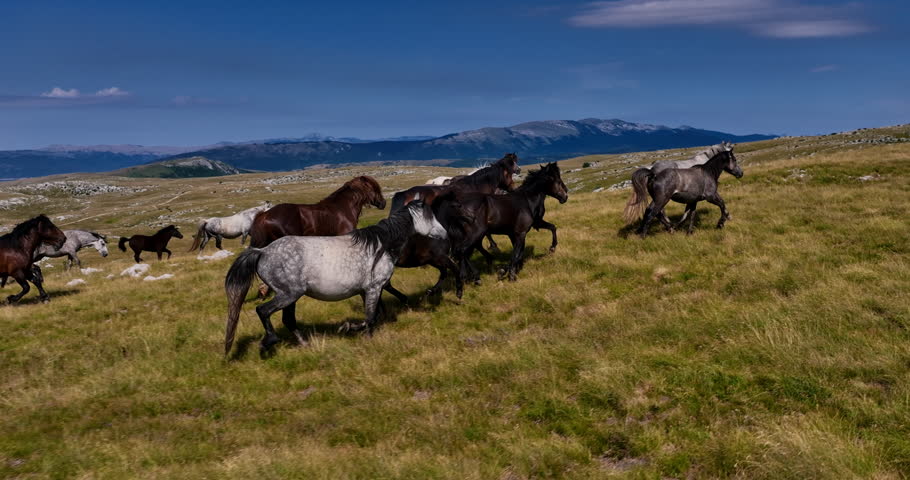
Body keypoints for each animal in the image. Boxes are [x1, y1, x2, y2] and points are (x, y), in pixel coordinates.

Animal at [224, 201, 449, 355]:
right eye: (430, 216)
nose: (445, 234)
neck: (380, 245)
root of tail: (262, 252)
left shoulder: (366, 290)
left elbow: (375, 315)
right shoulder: (374, 288)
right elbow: (370, 317)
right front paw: (352, 329)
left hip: (290, 296)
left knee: (288, 319)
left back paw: (305, 343)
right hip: (288, 294)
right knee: (263, 310)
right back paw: (268, 342)